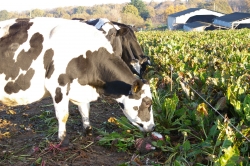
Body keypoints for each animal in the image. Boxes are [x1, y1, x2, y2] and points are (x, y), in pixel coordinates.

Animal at [0, 17, 155, 147]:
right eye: (148, 103)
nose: (153, 127)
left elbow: (85, 109)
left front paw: (88, 130)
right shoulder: (58, 84)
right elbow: (63, 115)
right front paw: (62, 140)